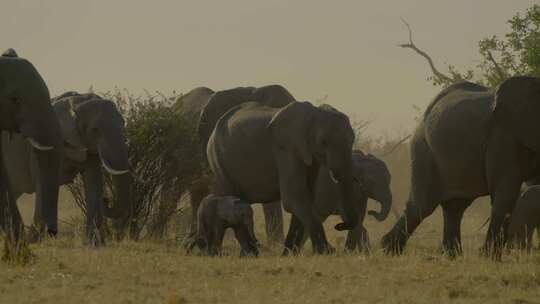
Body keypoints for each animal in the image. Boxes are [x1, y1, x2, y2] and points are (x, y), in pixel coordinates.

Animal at [1, 91, 132, 245]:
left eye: (123, 124)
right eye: (95, 129)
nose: (106, 199)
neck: (77, 101)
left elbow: (93, 182)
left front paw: (94, 244)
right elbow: (44, 183)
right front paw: (33, 242)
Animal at [207, 100, 372, 254]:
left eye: (352, 139)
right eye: (323, 141)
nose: (338, 226)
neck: (313, 114)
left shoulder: (308, 155)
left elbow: (306, 196)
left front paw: (289, 254)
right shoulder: (286, 147)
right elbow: (293, 196)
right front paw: (325, 252)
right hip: (218, 160)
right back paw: (249, 253)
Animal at [382, 76, 540, 258]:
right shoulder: (502, 137)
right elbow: (505, 192)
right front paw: (489, 257)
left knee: (455, 206)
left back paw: (451, 255)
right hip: (423, 147)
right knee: (423, 205)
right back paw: (388, 250)